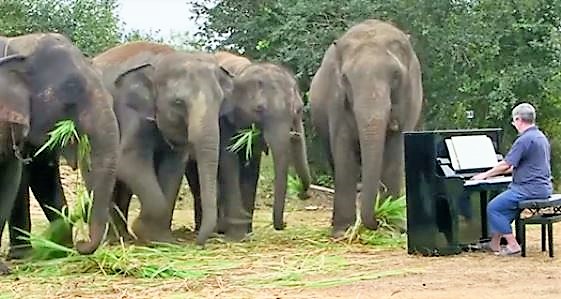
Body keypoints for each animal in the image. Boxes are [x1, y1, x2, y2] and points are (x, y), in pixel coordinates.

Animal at [93, 42, 233, 248]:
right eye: (178, 102)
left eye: (221, 100)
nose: (198, 242)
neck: (162, 60)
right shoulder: (130, 112)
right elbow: (127, 160)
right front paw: (143, 231)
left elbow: (173, 167)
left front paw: (162, 240)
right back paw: (113, 240)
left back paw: (123, 237)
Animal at [187, 52, 312, 239]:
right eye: (259, 109)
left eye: (299, 108)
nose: (285, 224)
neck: (244, 71)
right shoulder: (222, 121)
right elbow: (228, 163)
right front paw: (237, 236)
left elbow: (251, 168)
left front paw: (246, 233)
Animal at [308, 19, 422, 239]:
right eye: (345, 78)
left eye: (396, 75)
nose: (377, 221)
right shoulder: (336, 102)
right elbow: (343, 151)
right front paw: (342, 231)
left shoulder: (408, 98)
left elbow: (394, 153)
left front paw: (394, 228)